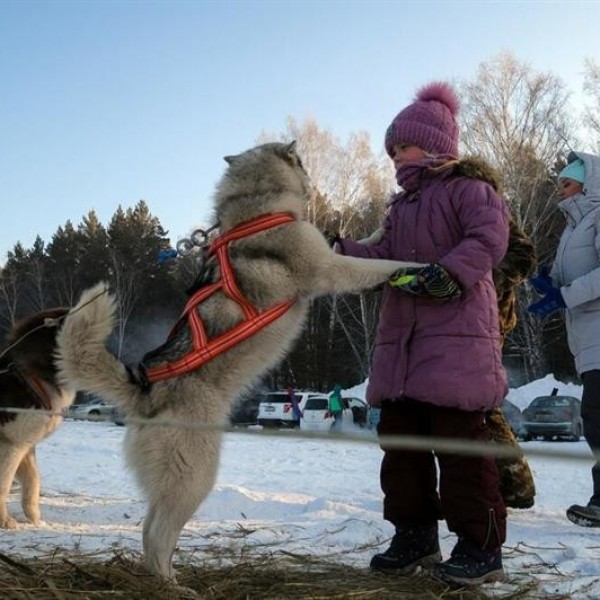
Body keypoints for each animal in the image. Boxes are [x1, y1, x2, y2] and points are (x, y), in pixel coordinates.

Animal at [55, 142, 422, 580]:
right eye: (302, 162)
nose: (310, 180)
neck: (256, 207)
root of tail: (145, 389)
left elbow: (359, 243)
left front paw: (380, 230)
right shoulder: (330, 269)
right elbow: (376, 266)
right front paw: (416, 266)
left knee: (147, 531)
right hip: (196, 475)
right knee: (158, 535)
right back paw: (172, 583)